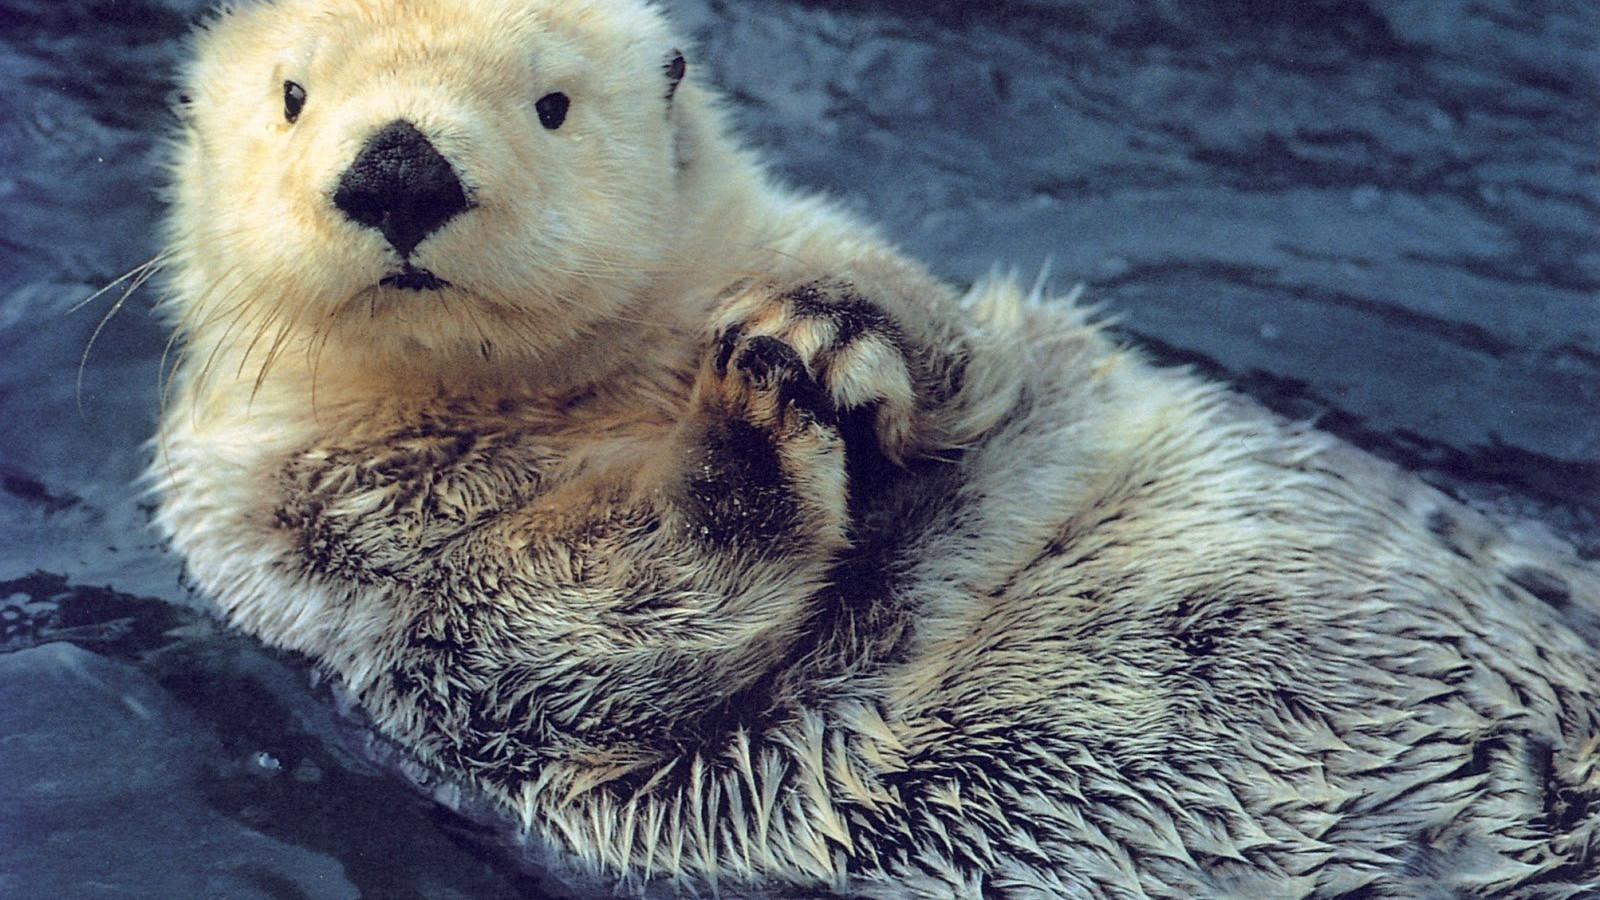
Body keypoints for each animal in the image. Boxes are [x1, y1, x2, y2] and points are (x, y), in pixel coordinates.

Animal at [152, 0, 1600, 896]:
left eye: (551, 104)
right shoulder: (318, 551)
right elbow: (573, 631)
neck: (578, 402)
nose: (400, 168)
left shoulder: (899, 303)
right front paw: (748, 423)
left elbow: (974, 361)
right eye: (294, 96)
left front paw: (827, 331)